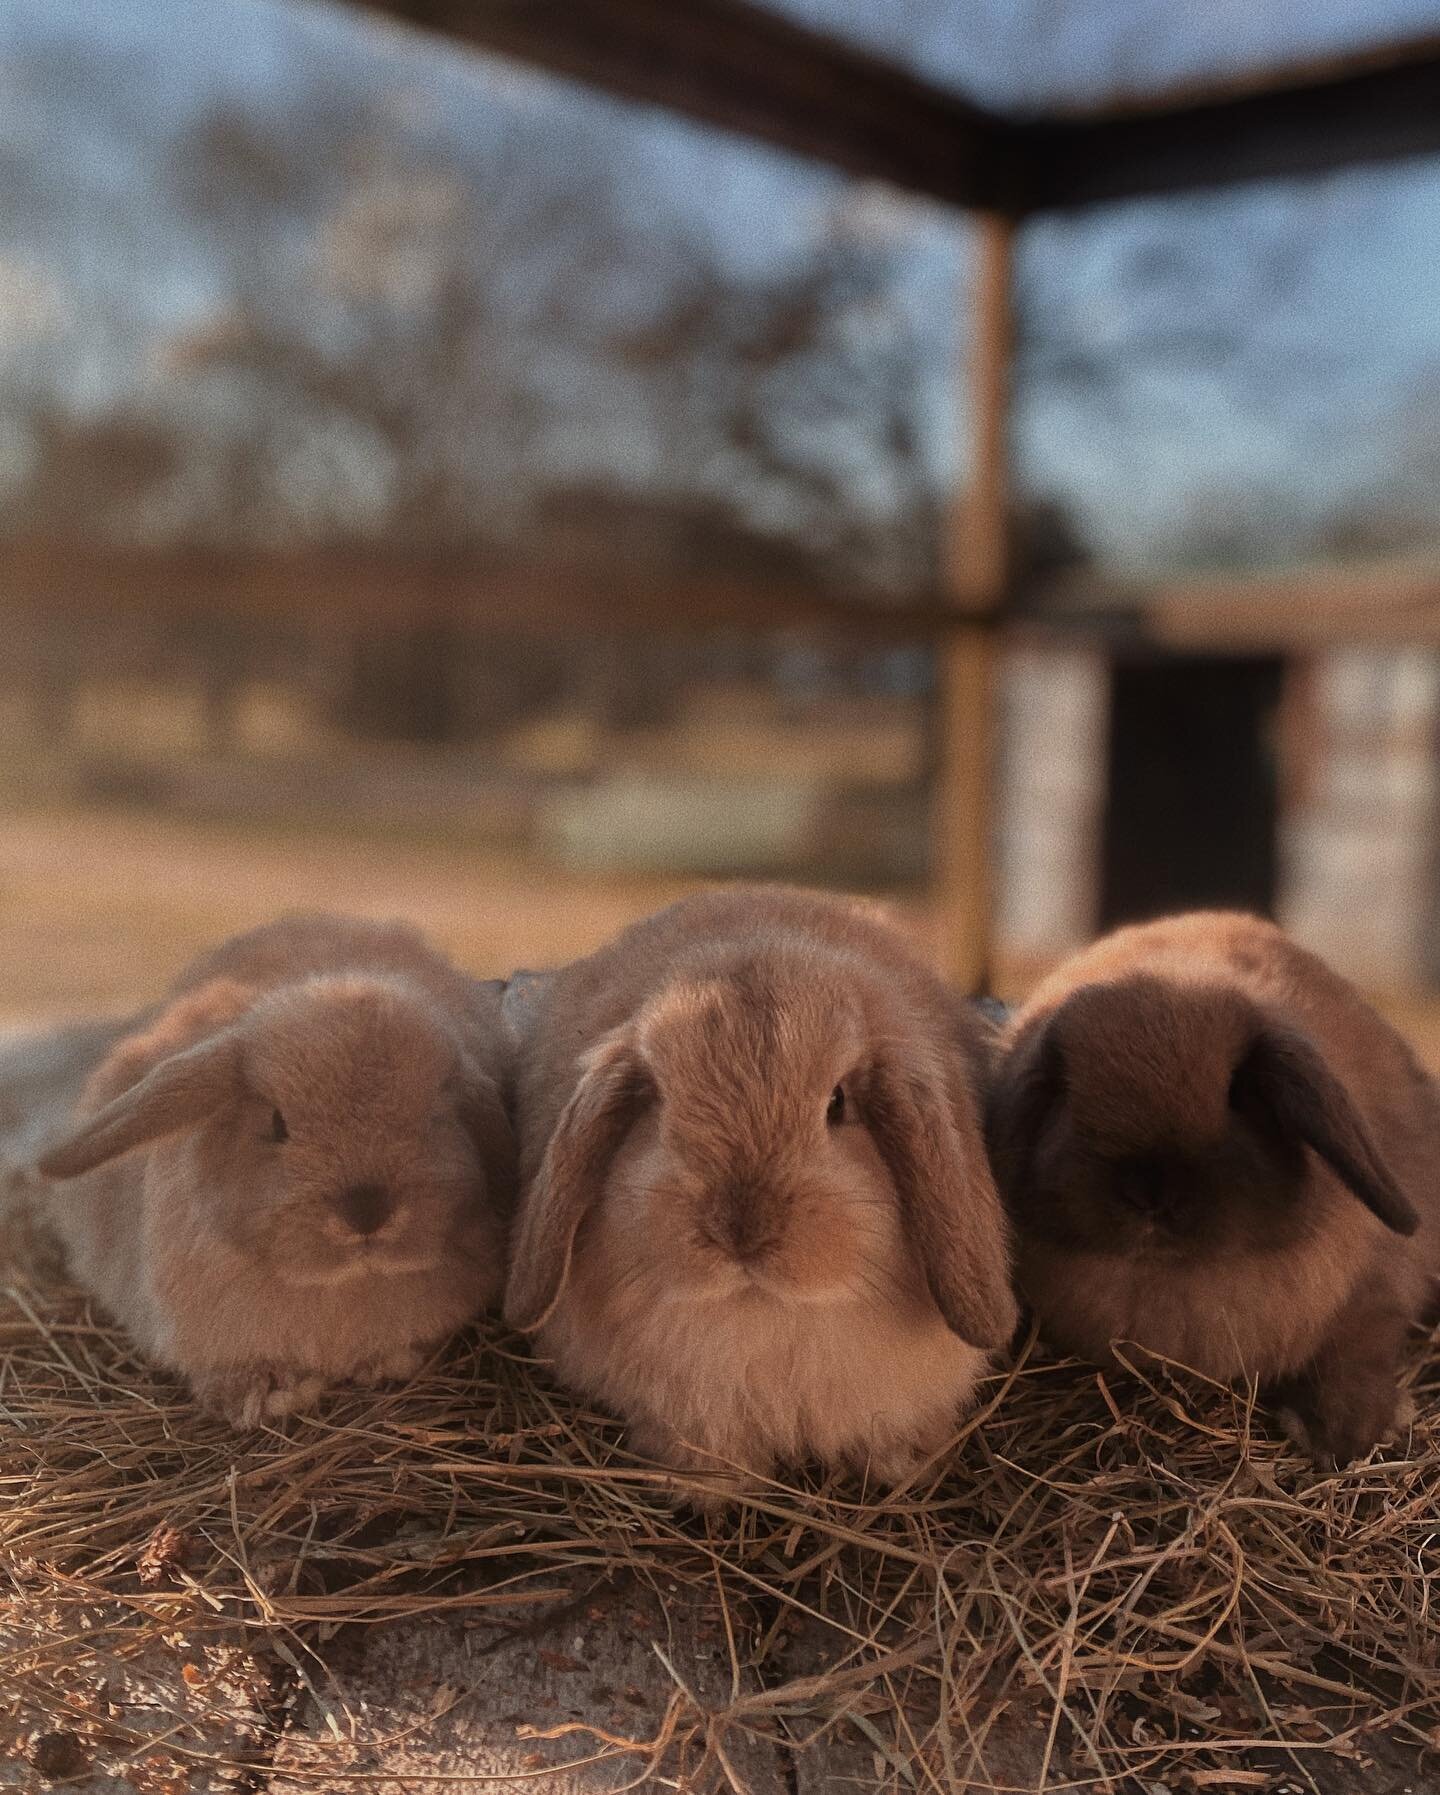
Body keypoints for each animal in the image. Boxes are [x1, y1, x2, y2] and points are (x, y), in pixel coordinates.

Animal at [32, 919, 517, 1421]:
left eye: (435, 1117)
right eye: (277, 1123)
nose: (366, 1212)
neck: (338, 1287)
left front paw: (384, 1362)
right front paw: (265, 1393)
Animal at [502, 886, 1012, 1500]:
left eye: (837, 1103)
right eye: (660, 1101)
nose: (740, 1229)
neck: (761, 1316)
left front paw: (900, 1465)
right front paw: (706, 1488)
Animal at [991, 904, 1436, 1464]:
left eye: (1238, 1093)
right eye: (1068, 1093)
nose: (1150, 1192)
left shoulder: (1378, 1294)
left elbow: (1356, 1356)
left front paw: (1345, 1438)